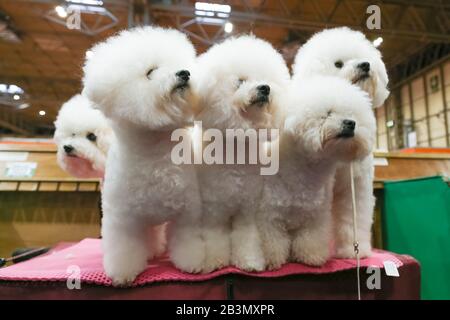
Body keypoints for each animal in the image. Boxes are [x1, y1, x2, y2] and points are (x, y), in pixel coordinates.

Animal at [82, 26, 204, 284]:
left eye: (180, 64)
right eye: (150, 72)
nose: (184, 73)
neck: (154, 153)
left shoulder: (187, 213)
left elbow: (187, 240)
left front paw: (191, 263)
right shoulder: (123, 221)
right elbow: (125, 248)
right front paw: (123, 273)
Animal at [195, 35, 290, 272]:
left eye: (266, 79)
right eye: (240, 81)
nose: (265, 88)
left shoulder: (247, 209)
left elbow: (246, 237)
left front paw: (250, 261)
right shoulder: (214, 211)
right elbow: (214, 238)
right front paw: (214, 261)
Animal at [258, 77, 374, 270]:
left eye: (353, 114)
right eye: (328, 113)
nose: (351, 123)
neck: (306, 170)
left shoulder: (315, 216)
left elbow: (310, 239)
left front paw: (311, 257)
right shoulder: (270, 216)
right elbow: (273, 241)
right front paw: (272, 261)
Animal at [292, 26, 390, 258]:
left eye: (364, 57)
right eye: (338, 64)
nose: (365, 65)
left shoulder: (356, 186)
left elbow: (353, 220)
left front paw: (354, 251)